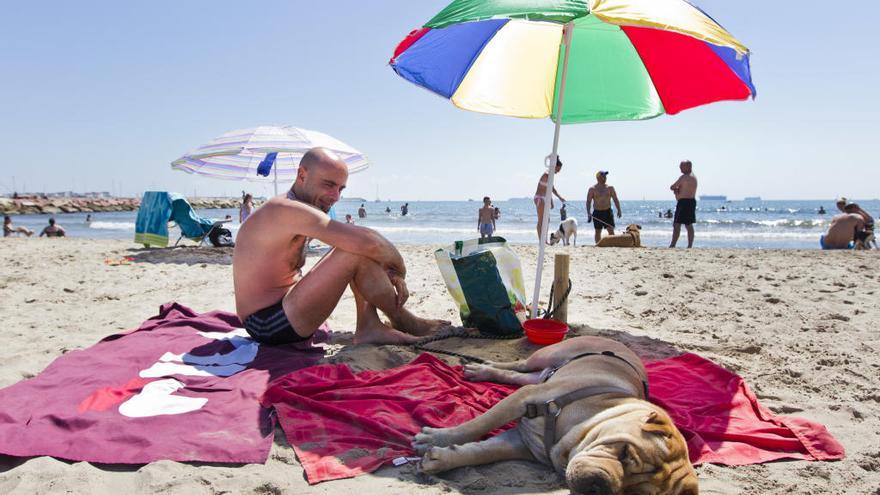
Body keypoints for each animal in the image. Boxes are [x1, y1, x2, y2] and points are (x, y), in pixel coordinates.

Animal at [412, 336, 696, 494]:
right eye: (624, 452)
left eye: (634, 494)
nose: (598, 487)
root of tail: (617, 342)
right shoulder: (525, 398)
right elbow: (478, 424)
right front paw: (435, 439)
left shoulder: (521, 443)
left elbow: (484, 451)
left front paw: (441, 458)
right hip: (547, 355)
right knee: (519, 365)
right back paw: (482, 370)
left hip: (541, 374)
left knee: (519, 376)